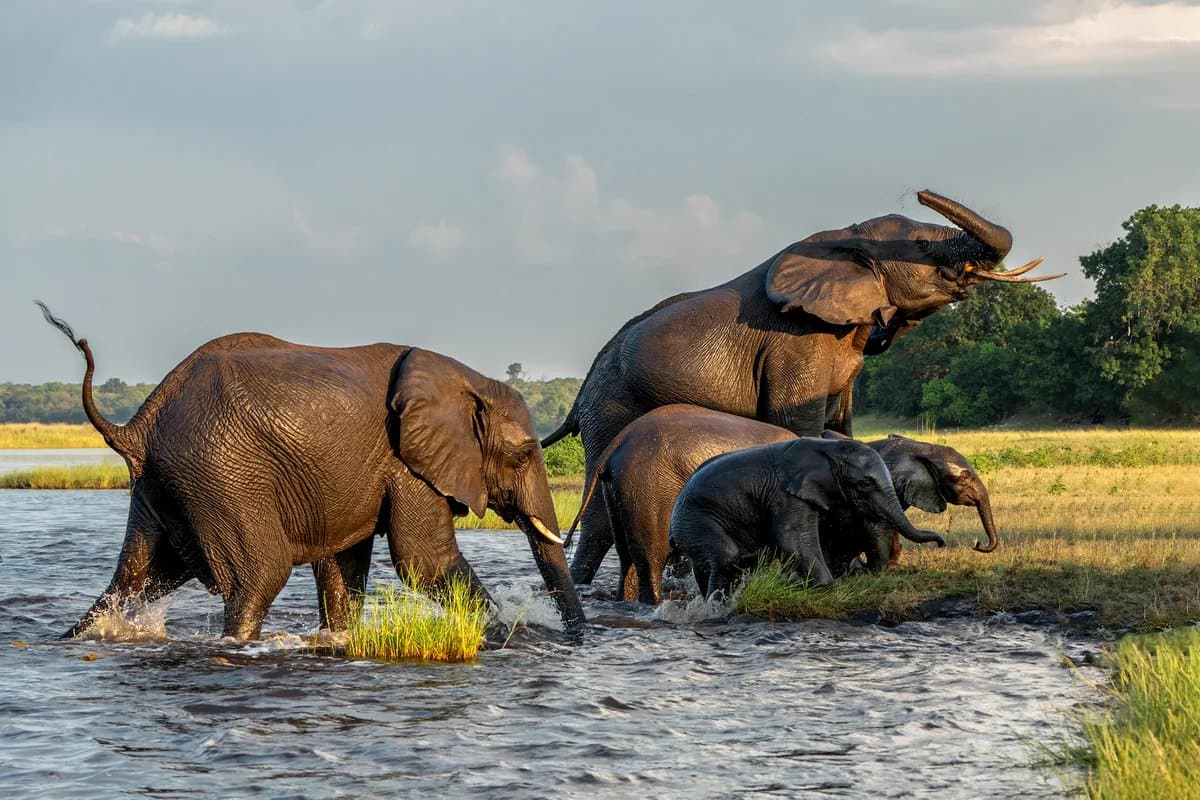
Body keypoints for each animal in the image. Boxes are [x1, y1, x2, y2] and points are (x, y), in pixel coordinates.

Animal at [39, 304, 584, 640]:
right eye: (524, 455)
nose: (577, 638)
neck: (467, 380)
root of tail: (137, 426)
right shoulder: (408, 465)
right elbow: (424, 560)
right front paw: (511, 629)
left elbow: (344, 566)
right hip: (222, 477)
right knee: (259, 576)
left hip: (163, 486)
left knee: (133, 579)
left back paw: (73, 638)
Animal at [668, 438, 946, 599]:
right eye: (865, 484)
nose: (941, 543)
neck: (828, 449)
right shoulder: (786, 494)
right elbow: (791, 538)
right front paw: (823, 586)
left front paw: (793, 583)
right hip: (693, 519)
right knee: (727, 557)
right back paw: (715, 605)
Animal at [819, 432, 998, 577]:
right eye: (963, 479)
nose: (977, 544)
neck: (923, 449)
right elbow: (878, 524)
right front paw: (879, 572)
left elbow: (893, 524)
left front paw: (892, 568)